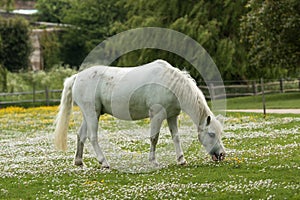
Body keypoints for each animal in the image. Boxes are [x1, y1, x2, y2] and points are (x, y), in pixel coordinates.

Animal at [55, 59, 226, 169]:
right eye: (211, 134)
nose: (222, 155)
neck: (170, 84)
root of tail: (77, 77)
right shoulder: (157, 115)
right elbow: (154, 138)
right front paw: (153, 162)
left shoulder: (172, 116)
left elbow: (176, 137)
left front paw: (181, 160)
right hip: (91, 114)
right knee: (92, 137)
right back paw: (104, 162)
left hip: (91, 114)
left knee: (81, 135)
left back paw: (79, 161)